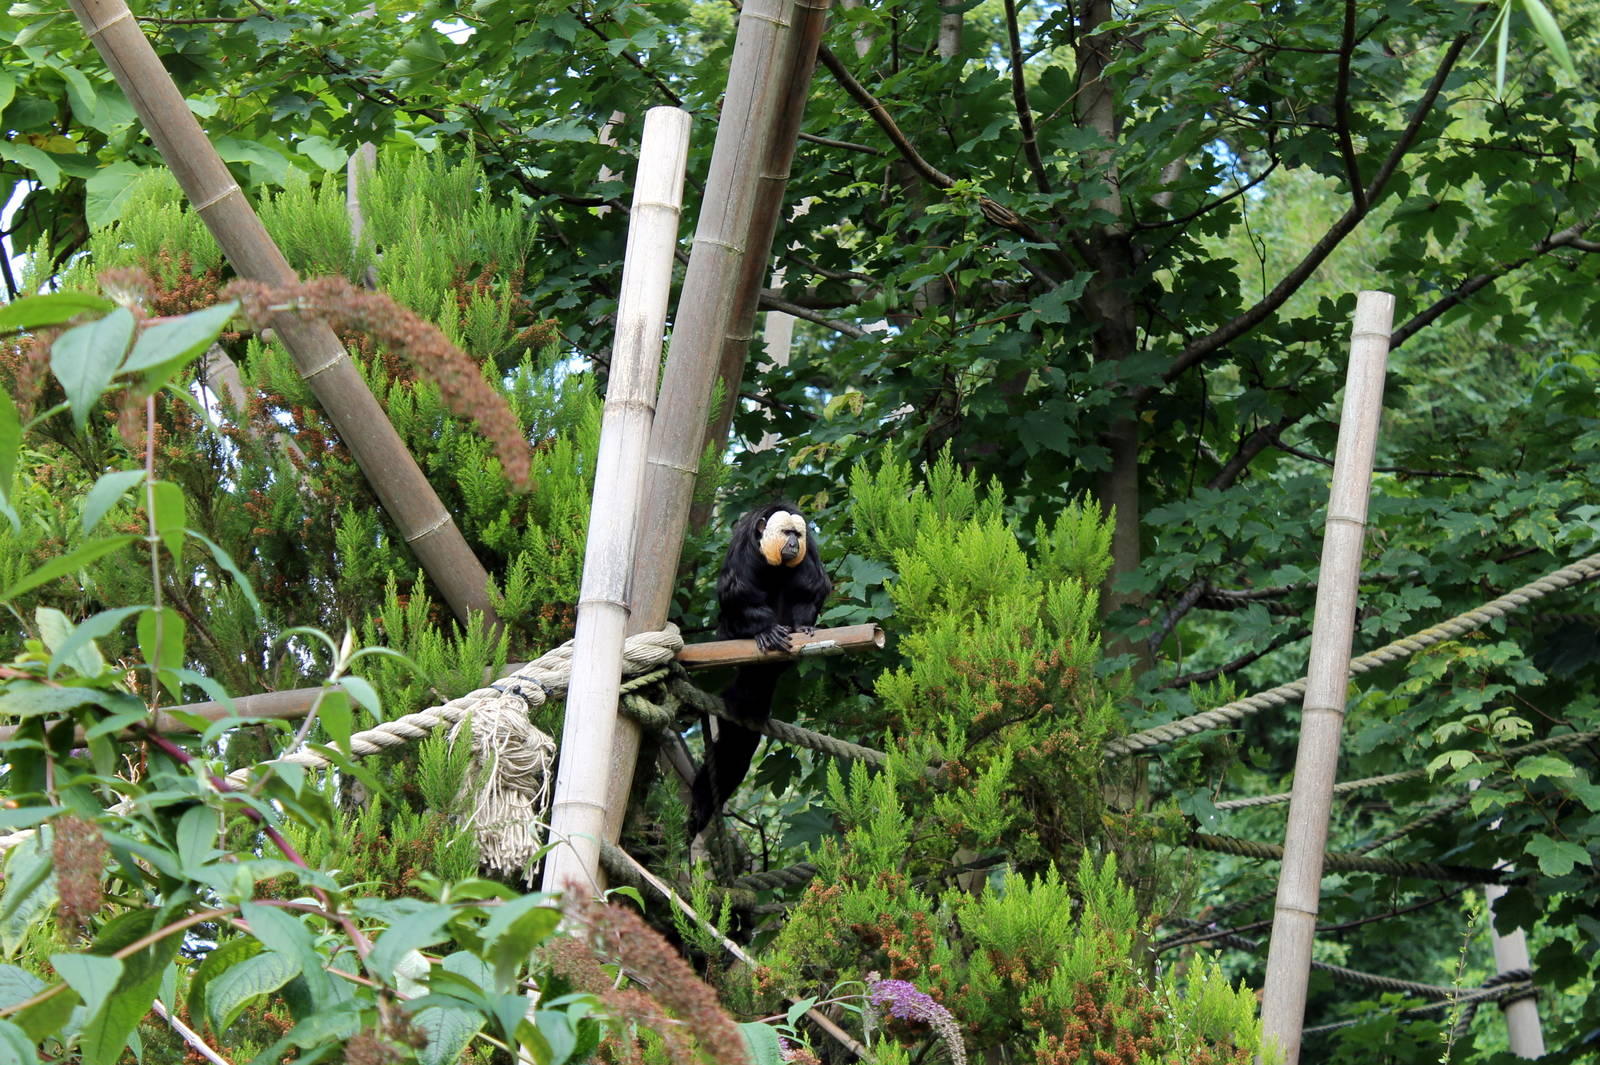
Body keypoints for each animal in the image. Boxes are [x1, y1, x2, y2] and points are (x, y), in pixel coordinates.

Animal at [688, 503, 832, 840]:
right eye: (787, 533)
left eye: (797, 535)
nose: (792, 544)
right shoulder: (744, 547)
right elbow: (738, 591)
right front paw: (765, 630)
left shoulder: (810, 551)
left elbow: (811, 588)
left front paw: (803, 626)